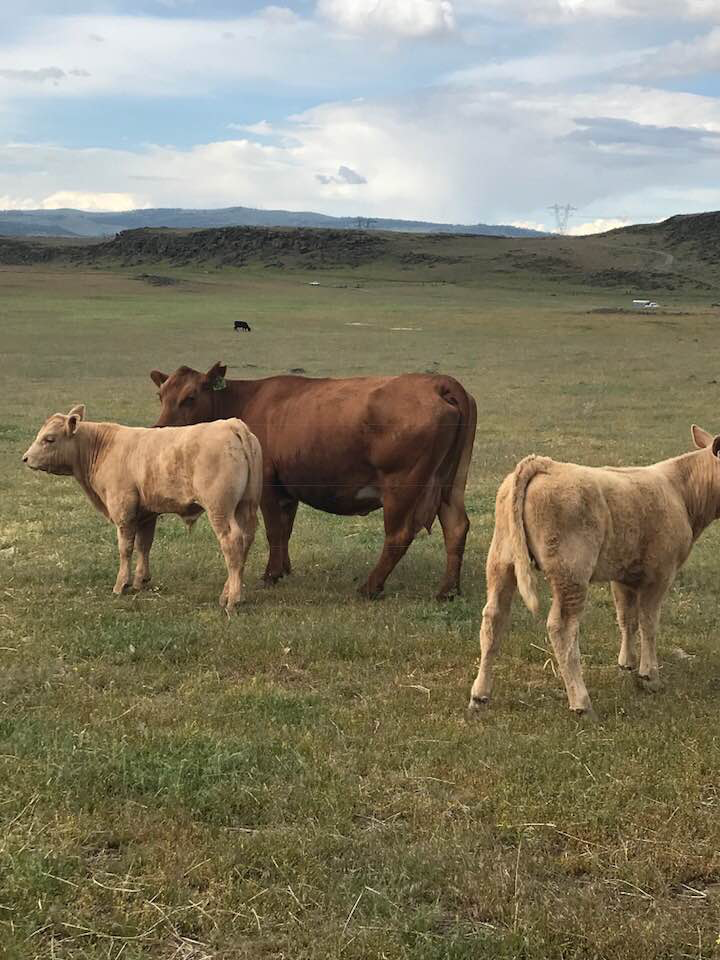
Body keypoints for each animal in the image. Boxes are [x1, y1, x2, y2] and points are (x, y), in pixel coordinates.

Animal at [22, 405, 262, 613]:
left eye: (49, 439)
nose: (25, 459)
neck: (104, 447)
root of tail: (231, 424)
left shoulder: (123, 511)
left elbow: (125, 548)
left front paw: (121, 584)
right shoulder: (147, 514)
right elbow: (144, 545)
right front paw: (140, 580)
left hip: (220, 510)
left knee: (232, 543)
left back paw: (232, 599)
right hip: (246, 506)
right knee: (245, 542)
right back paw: (231, 593)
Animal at [150, 362, 477, 600]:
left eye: (190, 397)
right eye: (161, 395)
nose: (160, 430)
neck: (245, 402)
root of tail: (439, 383)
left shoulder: (268, 484)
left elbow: (274, 531)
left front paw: (271, 574)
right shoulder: (288, 487)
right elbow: (285, 530)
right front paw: (284, 568)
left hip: (402, 486)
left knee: (398, 535)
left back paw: (370, 587)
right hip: (450, 484)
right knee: (456, 526)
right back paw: (448, 590)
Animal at [468, 425, 720, 720]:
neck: (682, 491)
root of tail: (545, 463)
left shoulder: (623, 575)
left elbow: (627, 619)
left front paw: (626, 664)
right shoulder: (660, 573)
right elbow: (648, 623)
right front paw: (649, 675)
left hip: (501, 560)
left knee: (493, 618)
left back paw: (479, 696)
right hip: (571, 572)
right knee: (562, 628)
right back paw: (581, 702)